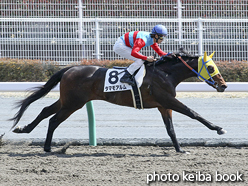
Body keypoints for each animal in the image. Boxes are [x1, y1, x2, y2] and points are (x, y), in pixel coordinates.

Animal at [12, 51, 229, 153]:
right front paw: (218, 128)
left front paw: (180, 149)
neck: (165, 73)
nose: (224, 86)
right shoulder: (168, 100)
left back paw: (25, 130)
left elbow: (171, 129)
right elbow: (193, 113)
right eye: (211, 68)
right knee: (53, 119)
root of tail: (70, 68)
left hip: (68, 101)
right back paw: (47, 147)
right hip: (73, 103)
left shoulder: (163, 105)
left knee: (45, 111)